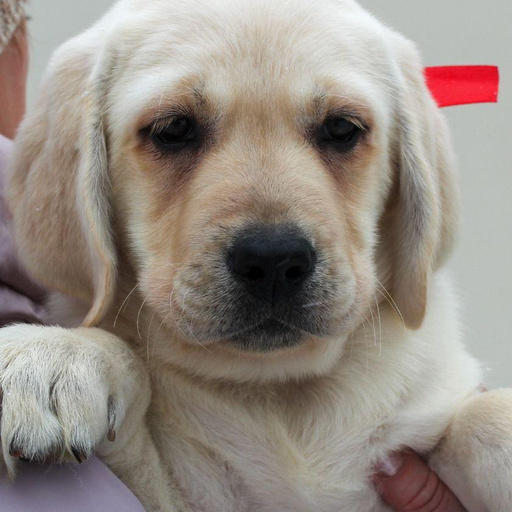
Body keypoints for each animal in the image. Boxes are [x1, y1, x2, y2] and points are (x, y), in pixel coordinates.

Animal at [1, 0, 511, 510]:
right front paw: (52, 355)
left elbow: (481, 414)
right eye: (174, 129)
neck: (277, 392)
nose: (273, 261)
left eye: (341, 128)